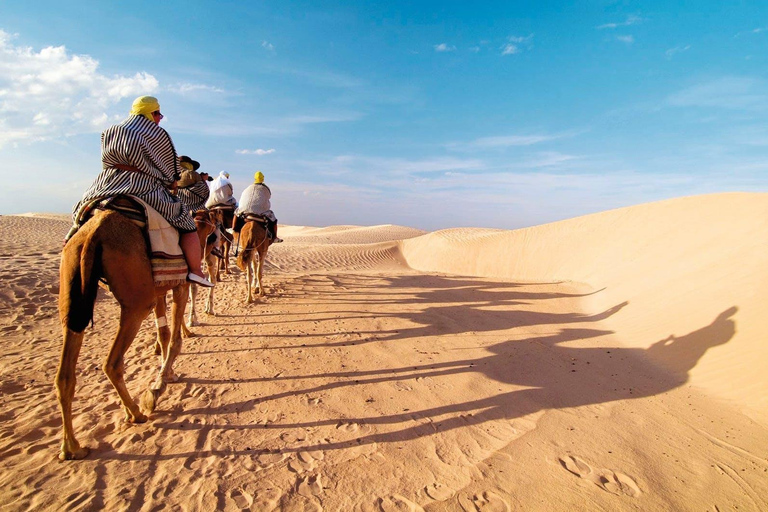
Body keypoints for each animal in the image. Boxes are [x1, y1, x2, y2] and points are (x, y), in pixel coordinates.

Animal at [55, 206, 190, 462]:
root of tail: (93, 233)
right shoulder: (180, 283)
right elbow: (174, 339)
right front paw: (158, 387)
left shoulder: (161, 287)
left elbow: (163, 334)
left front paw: (167, 374)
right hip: (137, 302)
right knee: (112, 363)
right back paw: (137, 413)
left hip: (71, 291)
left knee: (65, 375)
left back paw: (72, 448)